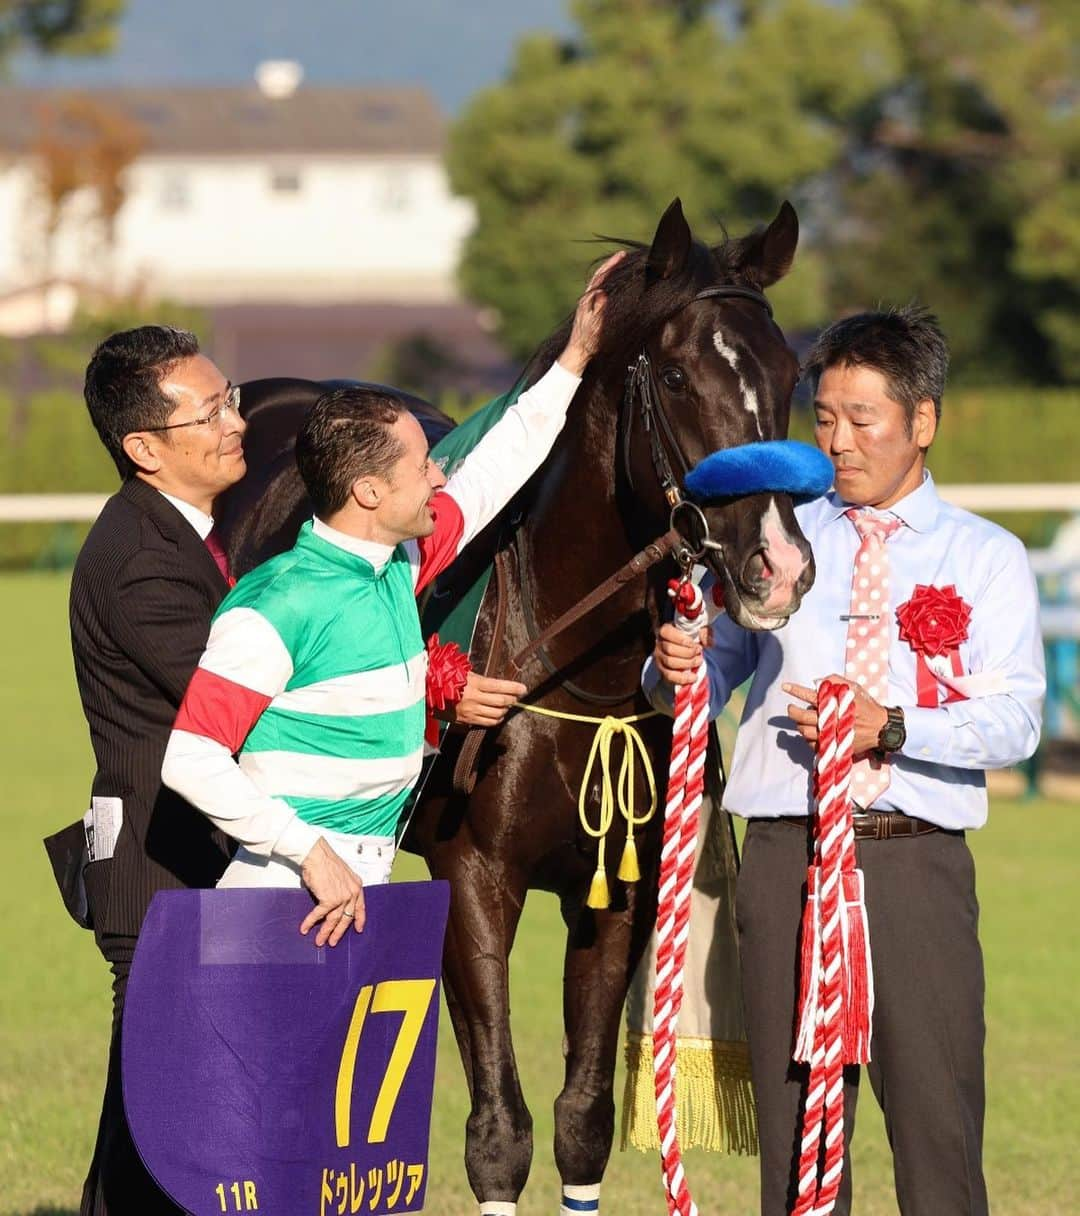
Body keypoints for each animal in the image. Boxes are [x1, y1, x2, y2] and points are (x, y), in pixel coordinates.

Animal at [217, 199, 807, 1206]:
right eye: (679, 376)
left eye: (791, 373)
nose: (778, 563)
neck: (566, 670)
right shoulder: (475, 879)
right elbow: (500, 1133)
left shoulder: (616, 893)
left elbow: (580, 1123)